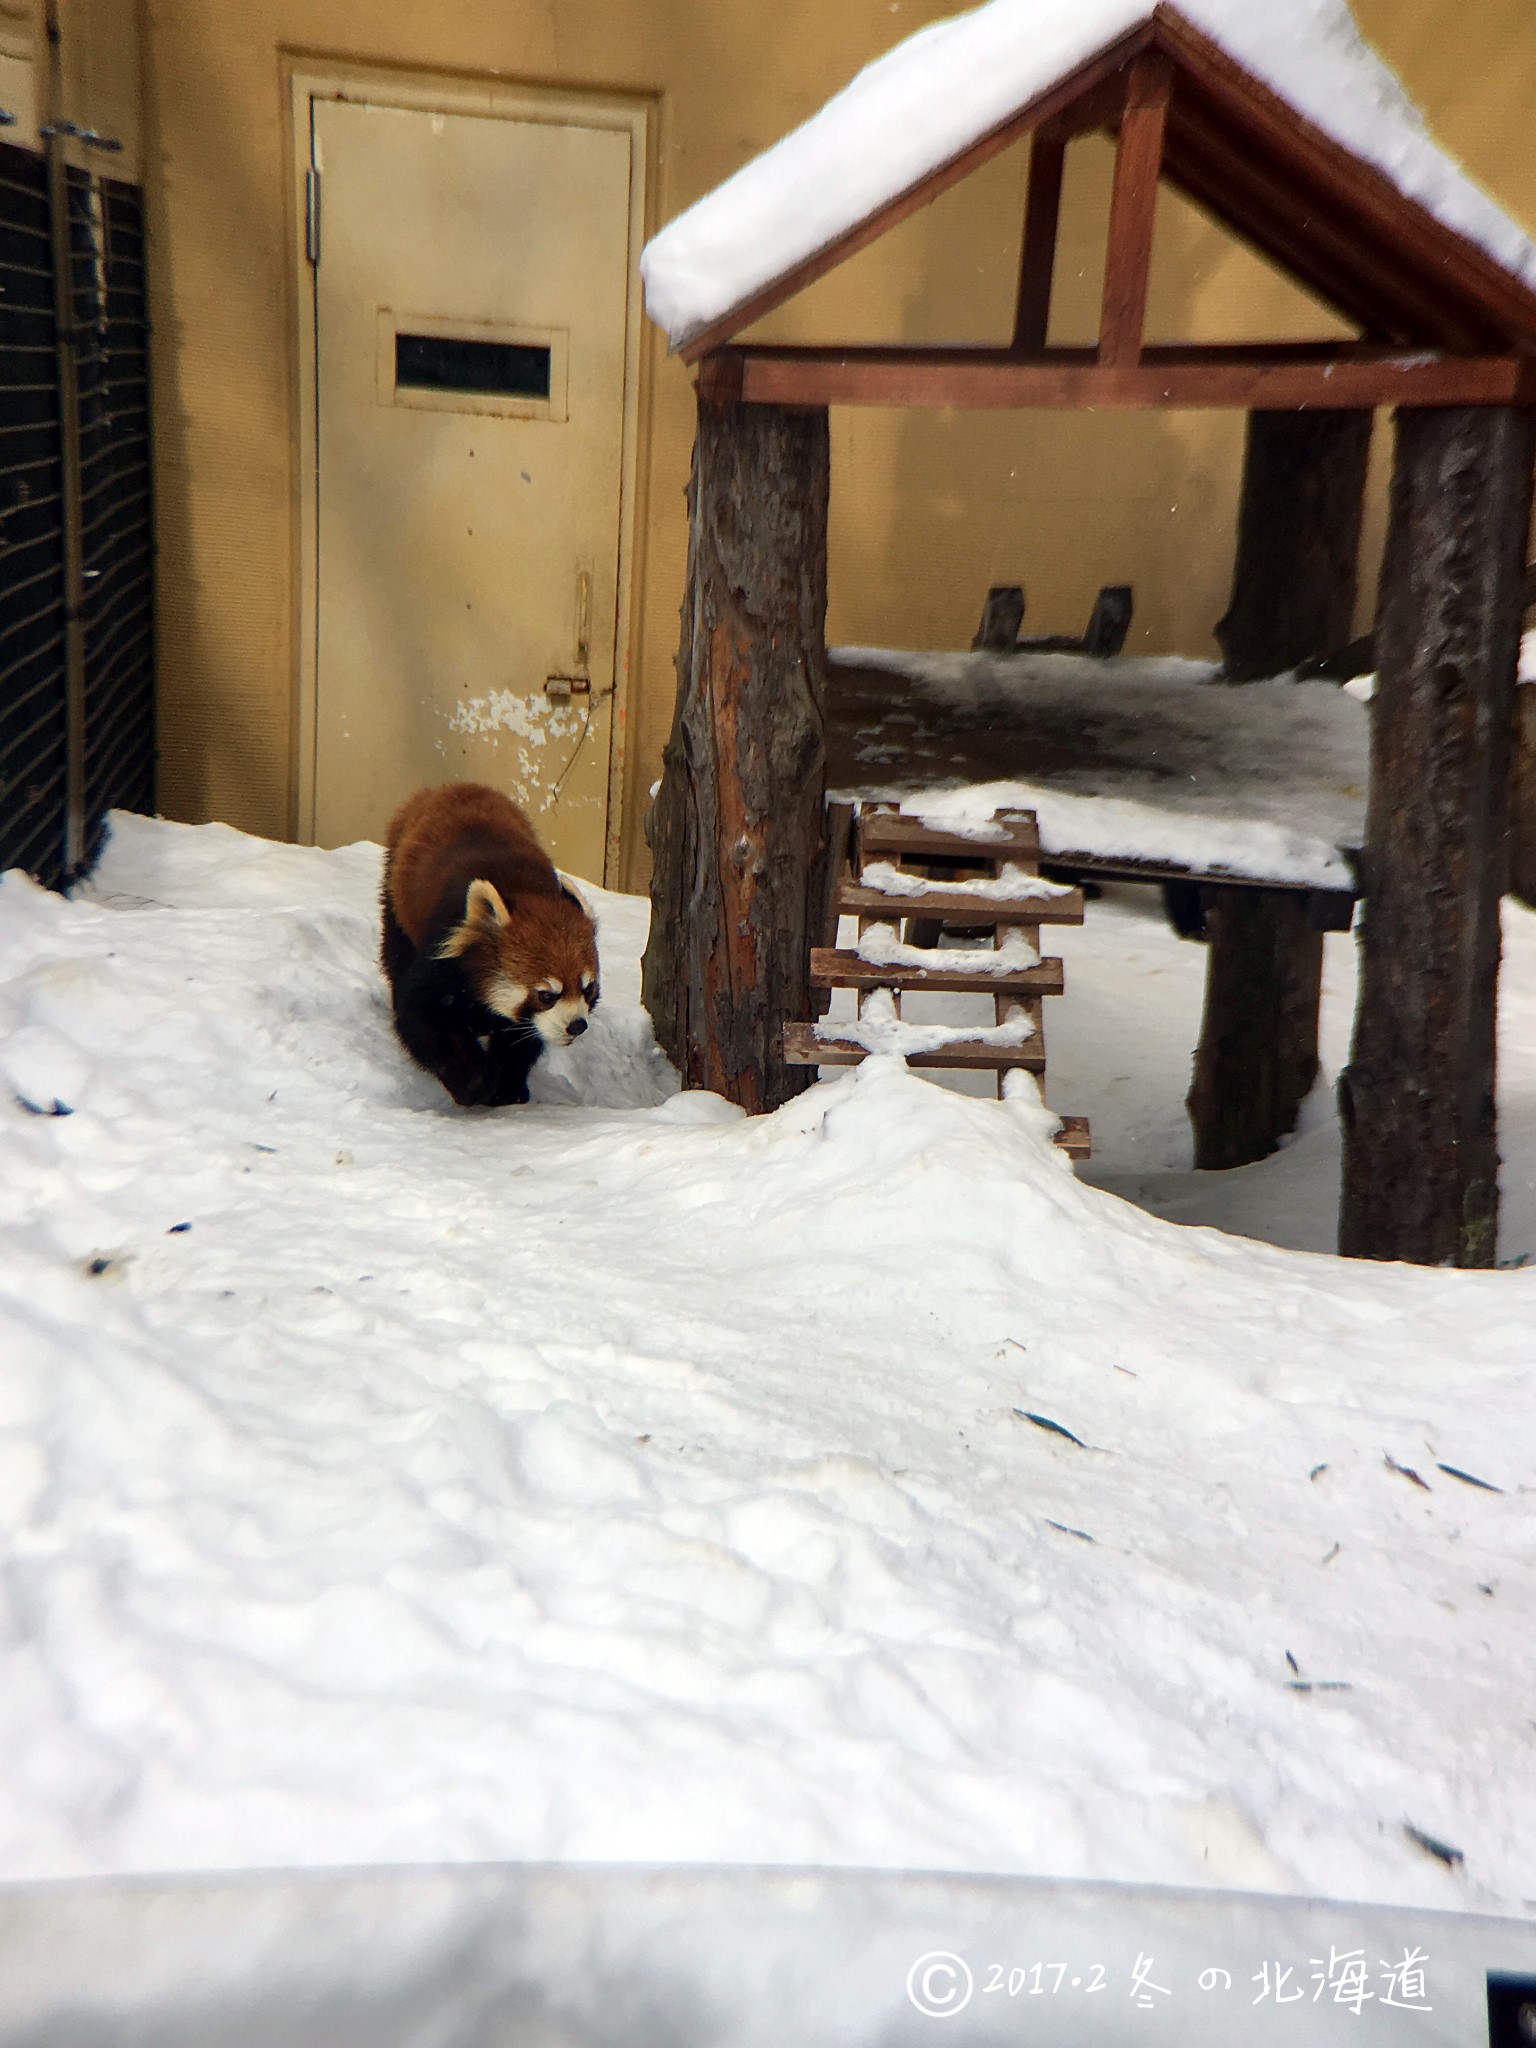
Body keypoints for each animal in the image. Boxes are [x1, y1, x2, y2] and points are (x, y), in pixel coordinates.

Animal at [382, 778, 602, 1105]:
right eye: (546, 995)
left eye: (587, 989)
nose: (577, 1025)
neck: (524, 891)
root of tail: (456, 785)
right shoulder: (444, 955)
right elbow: (422, 1016)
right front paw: (475, 1081)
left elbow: (523, 1037)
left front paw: (508, 1087)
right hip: (395, 891)